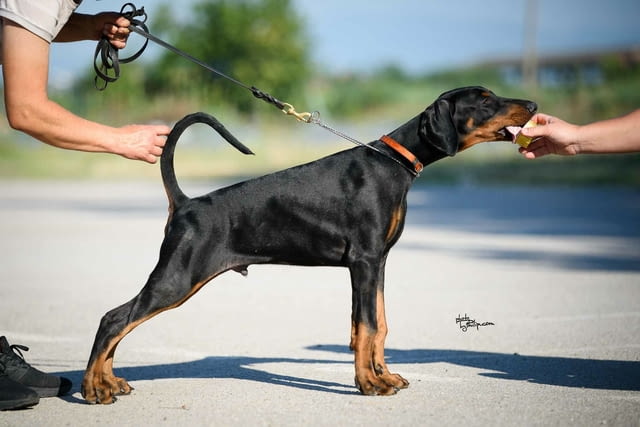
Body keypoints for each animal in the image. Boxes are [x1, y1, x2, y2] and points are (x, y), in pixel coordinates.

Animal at [82, 85, 536, 402]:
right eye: (484, 100)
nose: (532, 105)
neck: (395, 162)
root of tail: (186, 203)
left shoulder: (377, 263)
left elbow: (376, 324)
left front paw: (383, 376)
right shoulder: (364, 260)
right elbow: (368, 326)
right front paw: (369, 385)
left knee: (118, 321)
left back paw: (111, 383)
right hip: (178, 277)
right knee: (113, 319)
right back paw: (93, 389)